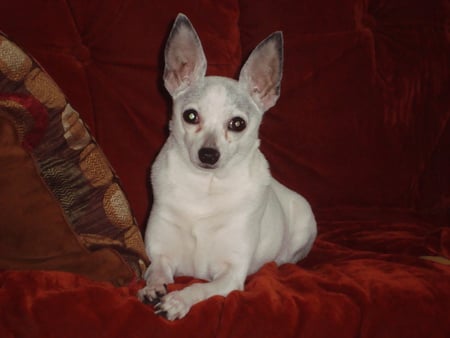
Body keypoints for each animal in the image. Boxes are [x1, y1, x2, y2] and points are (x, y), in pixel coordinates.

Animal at [137, 13, 316, 320]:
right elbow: (156, 270)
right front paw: (154, 287)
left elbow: (199, 287)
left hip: (305, 223)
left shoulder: (230, 275)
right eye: (190, 116)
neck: (205, 188)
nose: (209, 153)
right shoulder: (161, 254)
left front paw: (178, 300)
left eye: (237, 124)